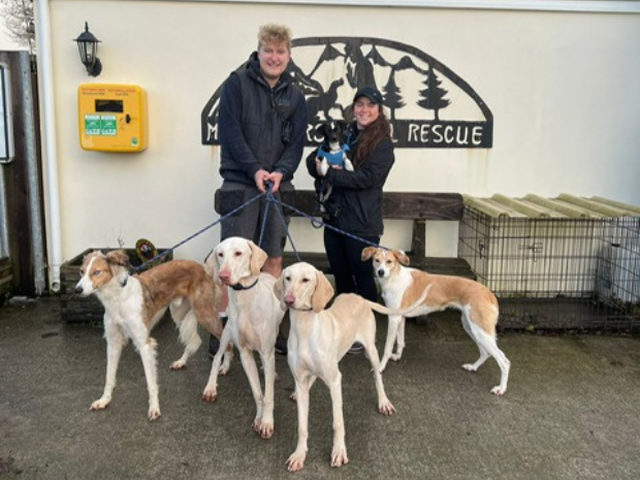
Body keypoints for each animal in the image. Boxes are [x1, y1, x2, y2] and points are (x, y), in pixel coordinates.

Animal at [74, 249, 225, 422]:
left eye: (96, 272)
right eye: (81, 271)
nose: (77, 290)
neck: (118, 298)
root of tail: (203, 267)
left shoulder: (144, 344)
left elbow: (150, 381)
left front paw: (154, 409)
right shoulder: (113, 342)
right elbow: (109, 376)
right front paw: (104, 400)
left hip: (204, 314)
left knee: (225, 338)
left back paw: (215, 380)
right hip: (179, 314)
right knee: (196, 340)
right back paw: (181, 361)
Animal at [204, 236, 286, 438]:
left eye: (238, 253)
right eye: (220, 254)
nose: (223, 276)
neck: (244, 298)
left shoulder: (266, 351)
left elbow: (268, 393)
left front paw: (266, 421)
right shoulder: (245, 354)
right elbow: (258, 393)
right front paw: (260, 418)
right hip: (226, 333)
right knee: (219, 355)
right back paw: (211, 386)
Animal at [274, 260, 428, 470]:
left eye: (306, 280)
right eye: (287, 278)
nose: (288, 300)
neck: (305, 327)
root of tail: (360, 298)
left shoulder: (334, 381)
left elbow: (337, 422)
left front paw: (339, 451)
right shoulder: (300, 378)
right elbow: (302, 426)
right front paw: (299, 454)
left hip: (371, 351)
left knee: (377, 376)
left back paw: (384, 402)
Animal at [362, 246, 512, 396]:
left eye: (389, 261)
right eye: (376, 260)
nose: (380, 272)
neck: (394, 277)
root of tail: (489, 293)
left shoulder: (393, 319)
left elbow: (387, 348)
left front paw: (380, 367)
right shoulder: (400, 318)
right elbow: (400, 341)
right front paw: (398, 356)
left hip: (480, 330)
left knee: (504, 361)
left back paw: (501, 388)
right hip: (471, 327)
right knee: (486, 352)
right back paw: (473, 367)